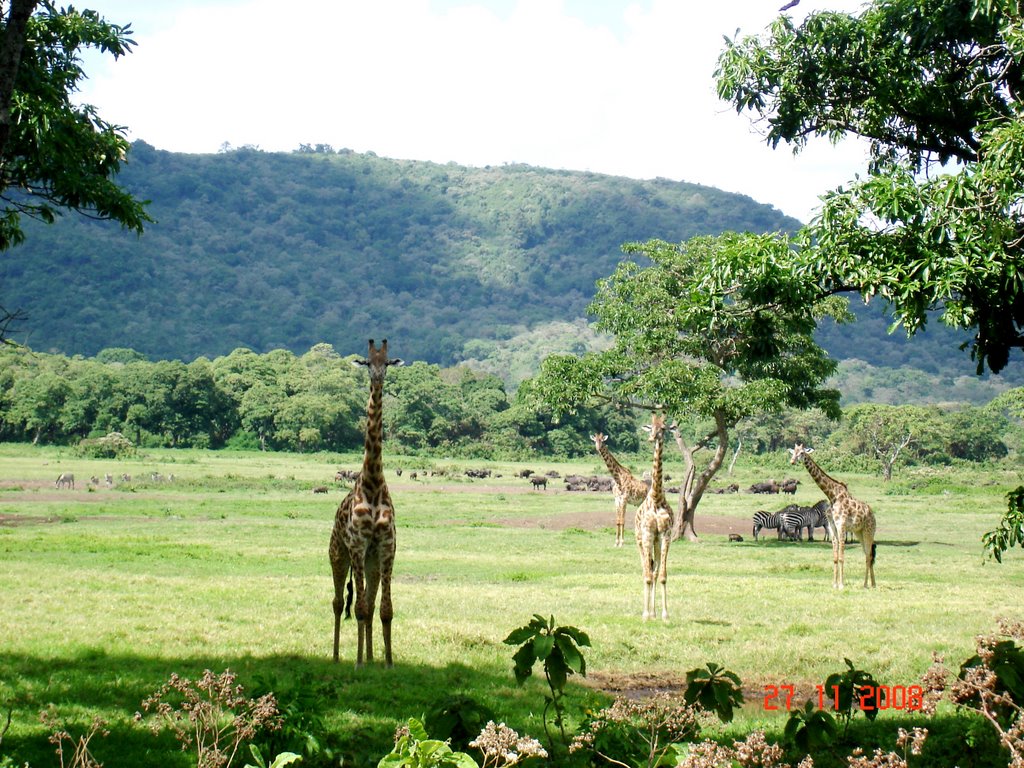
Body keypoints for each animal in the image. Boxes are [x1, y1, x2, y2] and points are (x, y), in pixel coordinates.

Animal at [786, 442, 876, 593]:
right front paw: (834, 584)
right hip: (859, 533)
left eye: (802, 453)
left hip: (869, 531)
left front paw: (841, 585)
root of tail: (873, 514)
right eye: (793, 452)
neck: (832, 496)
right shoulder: (832, 525)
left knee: (869, 556)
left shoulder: (841, 525)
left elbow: (841, 557)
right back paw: (872, 584)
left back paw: (867, 584)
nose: (792, 461)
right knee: (867, 554)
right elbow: (835, 557)